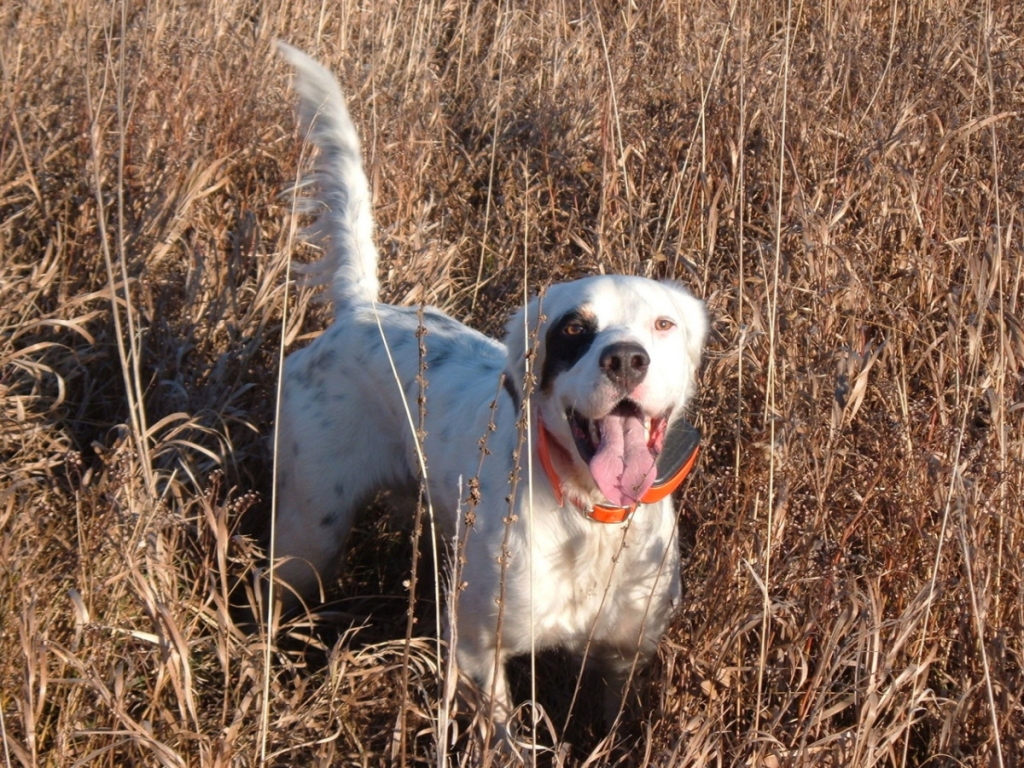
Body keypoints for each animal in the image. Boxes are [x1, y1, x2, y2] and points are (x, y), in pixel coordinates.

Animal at [268, 45, 708, 737]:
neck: (589, 517)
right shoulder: (476, 646)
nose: (626, 358)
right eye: (573, 329)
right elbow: (504, 734)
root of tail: (361, 312)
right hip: (307, 537)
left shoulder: (623, 652)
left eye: (663, 325)